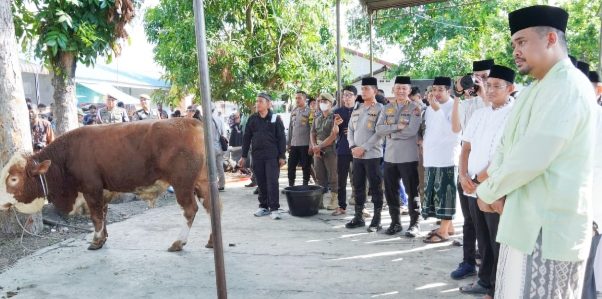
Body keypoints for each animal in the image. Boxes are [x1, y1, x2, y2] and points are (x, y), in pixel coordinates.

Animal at [0, 118, 214, 252]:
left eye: (13, 179)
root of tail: (191, 121)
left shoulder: (91, 188)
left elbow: (95, 217)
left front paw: (95, 242)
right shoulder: (102, 190)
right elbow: (103, 214)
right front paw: (102, 238)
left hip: (182, 183)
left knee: (190, 209)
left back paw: (178, 242)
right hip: (202, 182)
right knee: (212, 207)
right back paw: (212, 241)